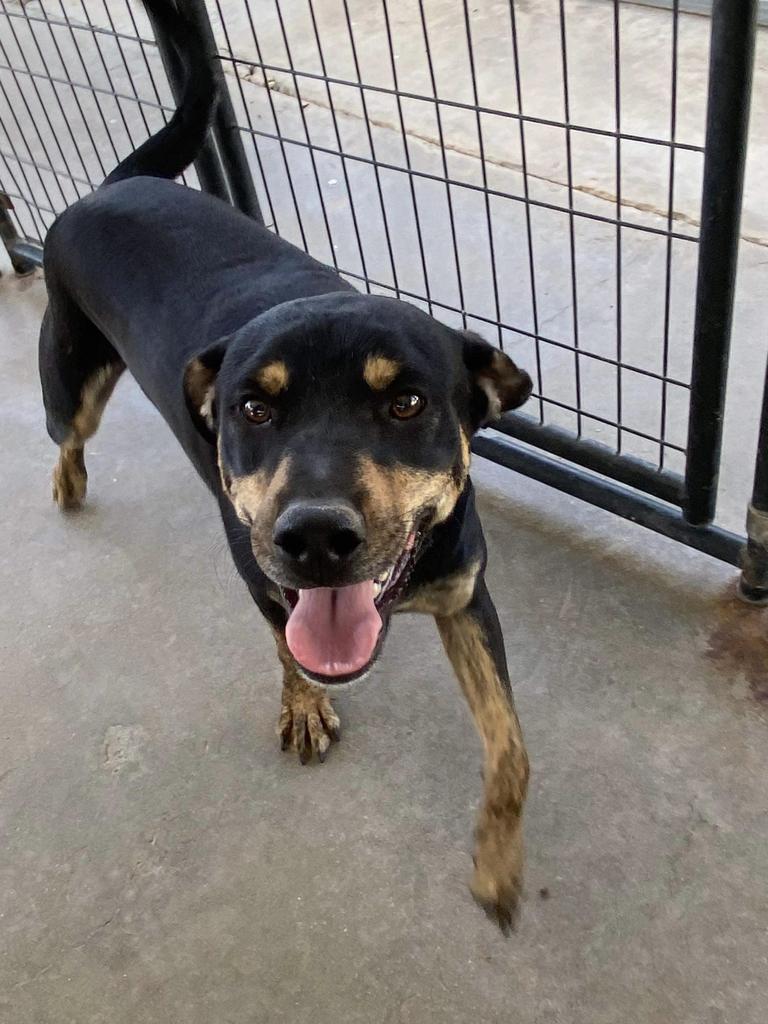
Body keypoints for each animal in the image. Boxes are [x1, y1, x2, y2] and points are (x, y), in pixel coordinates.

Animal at [40, 0, 536, 933]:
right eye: (254, 409)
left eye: (407, 403)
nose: (313, 539)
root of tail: (114, 183)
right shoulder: (262, 576)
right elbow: (284, 645)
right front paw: (304, 705)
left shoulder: (468, 597)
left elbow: (512, 749)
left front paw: (496, 864)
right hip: (70, 379)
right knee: (66, 431)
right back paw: (67, 479)